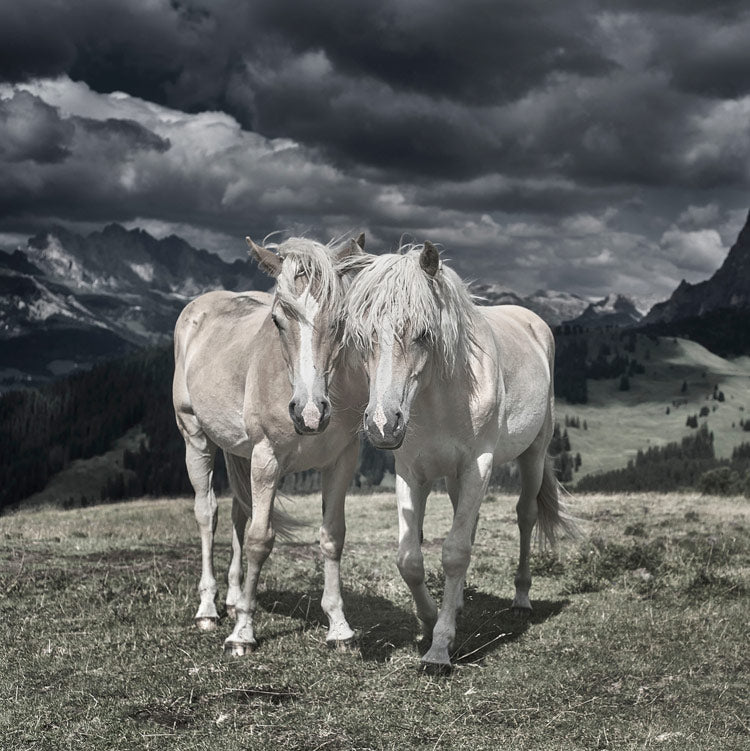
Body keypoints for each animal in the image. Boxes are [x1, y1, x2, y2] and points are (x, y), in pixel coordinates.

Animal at [173, 234, 368, 655]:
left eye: (339, 320)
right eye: (278, 320)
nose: (309, 412)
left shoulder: (342, 461)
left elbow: (332, 537)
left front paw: (340, 628)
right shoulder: (267, 458)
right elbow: (260, 540)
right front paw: (243, 633)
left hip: (239, 453)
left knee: (237, 513)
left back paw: (232, 598)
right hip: (195, 437)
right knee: (207, 514)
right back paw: (209, 609)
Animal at [342, 241, 578, 672]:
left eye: (423, 334)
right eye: (361, 336)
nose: (382, 425)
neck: (440, 398)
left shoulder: (476, 466)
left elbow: (454, 553)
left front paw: (440, 648)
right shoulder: (411, 472)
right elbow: (410, 558)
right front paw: (430, 618)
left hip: (532, 455)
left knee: (525, 516)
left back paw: (521, 598)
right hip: (454, 478)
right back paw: (461, 603)